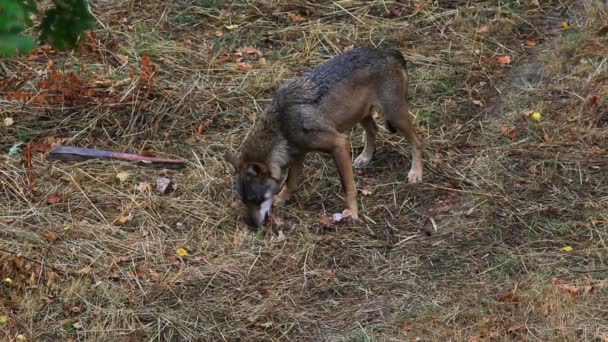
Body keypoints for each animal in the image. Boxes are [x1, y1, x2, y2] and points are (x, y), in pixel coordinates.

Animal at [223, 45, 422, 227]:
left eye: (255, 199)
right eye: (245, 201)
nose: (253, 226)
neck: (282, 124)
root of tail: (390, 51)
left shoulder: (339, 144)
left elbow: (348, 186)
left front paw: (352, 213)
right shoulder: (298, 154)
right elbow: (290, 182)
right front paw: (281, 199)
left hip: (394, 117)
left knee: (417, 141)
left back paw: (416, 173)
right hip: (361, 114)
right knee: (373, 130)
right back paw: (365, 158)